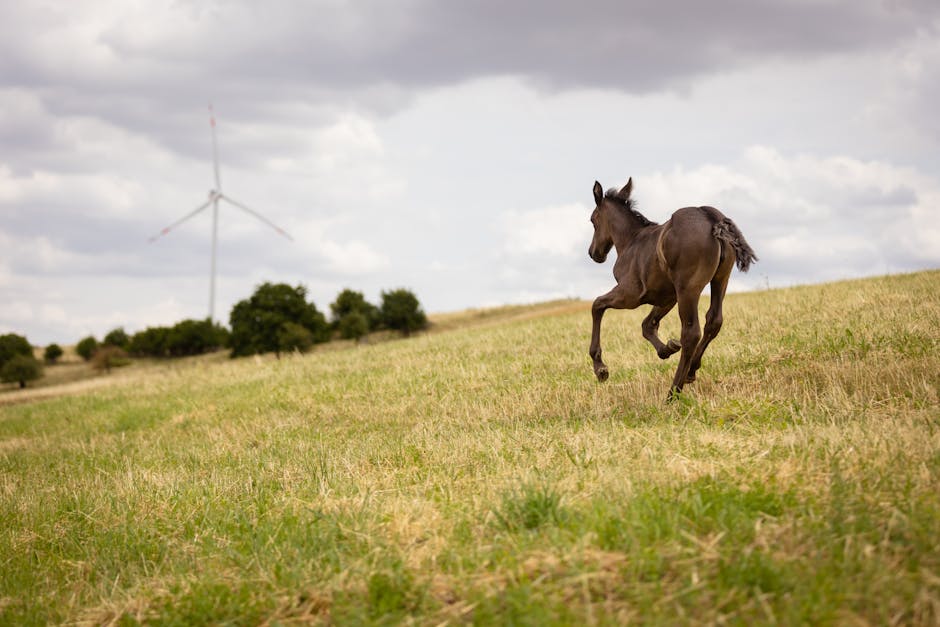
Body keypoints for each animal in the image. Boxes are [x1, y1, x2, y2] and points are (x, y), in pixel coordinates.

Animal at [588, 179, 756, 400]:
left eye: (593, 220)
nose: (593, 253)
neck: (631, 241)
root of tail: (710, 216)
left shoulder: (630, 295)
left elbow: (597, 305)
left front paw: (600, 368)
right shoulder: (667, 296)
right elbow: (647, 325)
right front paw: (667, 349)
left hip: (688, 289)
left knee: (691, 333)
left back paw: (673, 393)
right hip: (720, 280)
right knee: (714, 321)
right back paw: (691, 371)